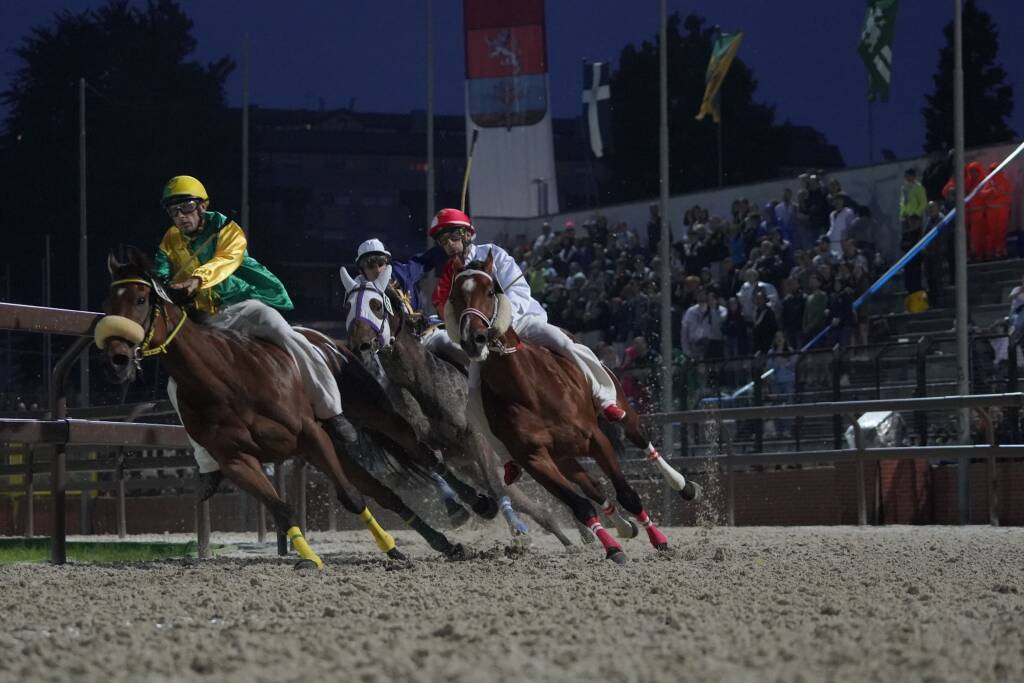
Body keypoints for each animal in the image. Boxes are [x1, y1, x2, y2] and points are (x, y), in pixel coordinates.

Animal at [98, 248, 471, 565]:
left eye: (141, 298)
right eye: (110, 301)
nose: (117, 357)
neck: (225, 383)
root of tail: (333, 344)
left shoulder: (309, 435)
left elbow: (351, 497)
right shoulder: (237, 461)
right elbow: (282, 509)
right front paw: (309, 559)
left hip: (373, 414)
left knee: (422, 454)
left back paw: (472, 504)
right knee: (383, 491)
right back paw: (433, 544)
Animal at [339, 266, 573, 544]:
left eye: (375, 305)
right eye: (348, 306)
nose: (360, 345)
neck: (424, 384)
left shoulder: (476, 437)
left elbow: (494, 483)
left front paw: (512, 523)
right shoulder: (429, 445)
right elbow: (438, 469)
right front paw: (465, 509)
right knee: (529, 502)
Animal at [446, 253, 696, 565]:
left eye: (490, 291)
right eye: (455, 296)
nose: (473, 339)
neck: (529, 391)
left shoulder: (595, 438)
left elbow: (627, 493)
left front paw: (659, 539)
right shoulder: (535, 459)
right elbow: (581, 504)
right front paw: (613, 548)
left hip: (617, 406)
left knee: (641, 440)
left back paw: (682, 485)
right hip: (564, 456)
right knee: (592, 486)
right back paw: (624, 527)